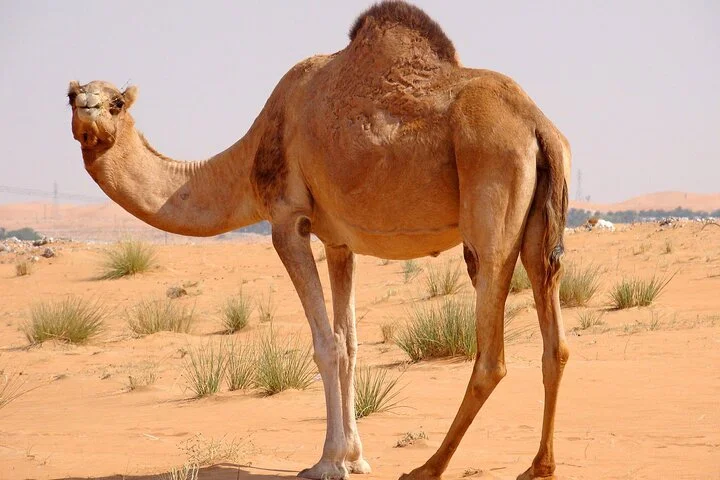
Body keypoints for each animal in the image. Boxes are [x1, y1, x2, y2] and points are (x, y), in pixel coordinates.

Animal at [67, 2, 571, 479]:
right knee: (555, 340)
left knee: (491, 354)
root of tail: (538, 126)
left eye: (116, 103)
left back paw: (428, 466)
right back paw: (538, 465)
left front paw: (328, 463)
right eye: (71, 96)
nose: (87, 113)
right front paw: (355, 458)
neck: (248, 158)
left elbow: (325, 343)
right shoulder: (339, 242)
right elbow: (349, 343)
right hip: (539, 225)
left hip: (489, 198)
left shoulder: (287, 220)